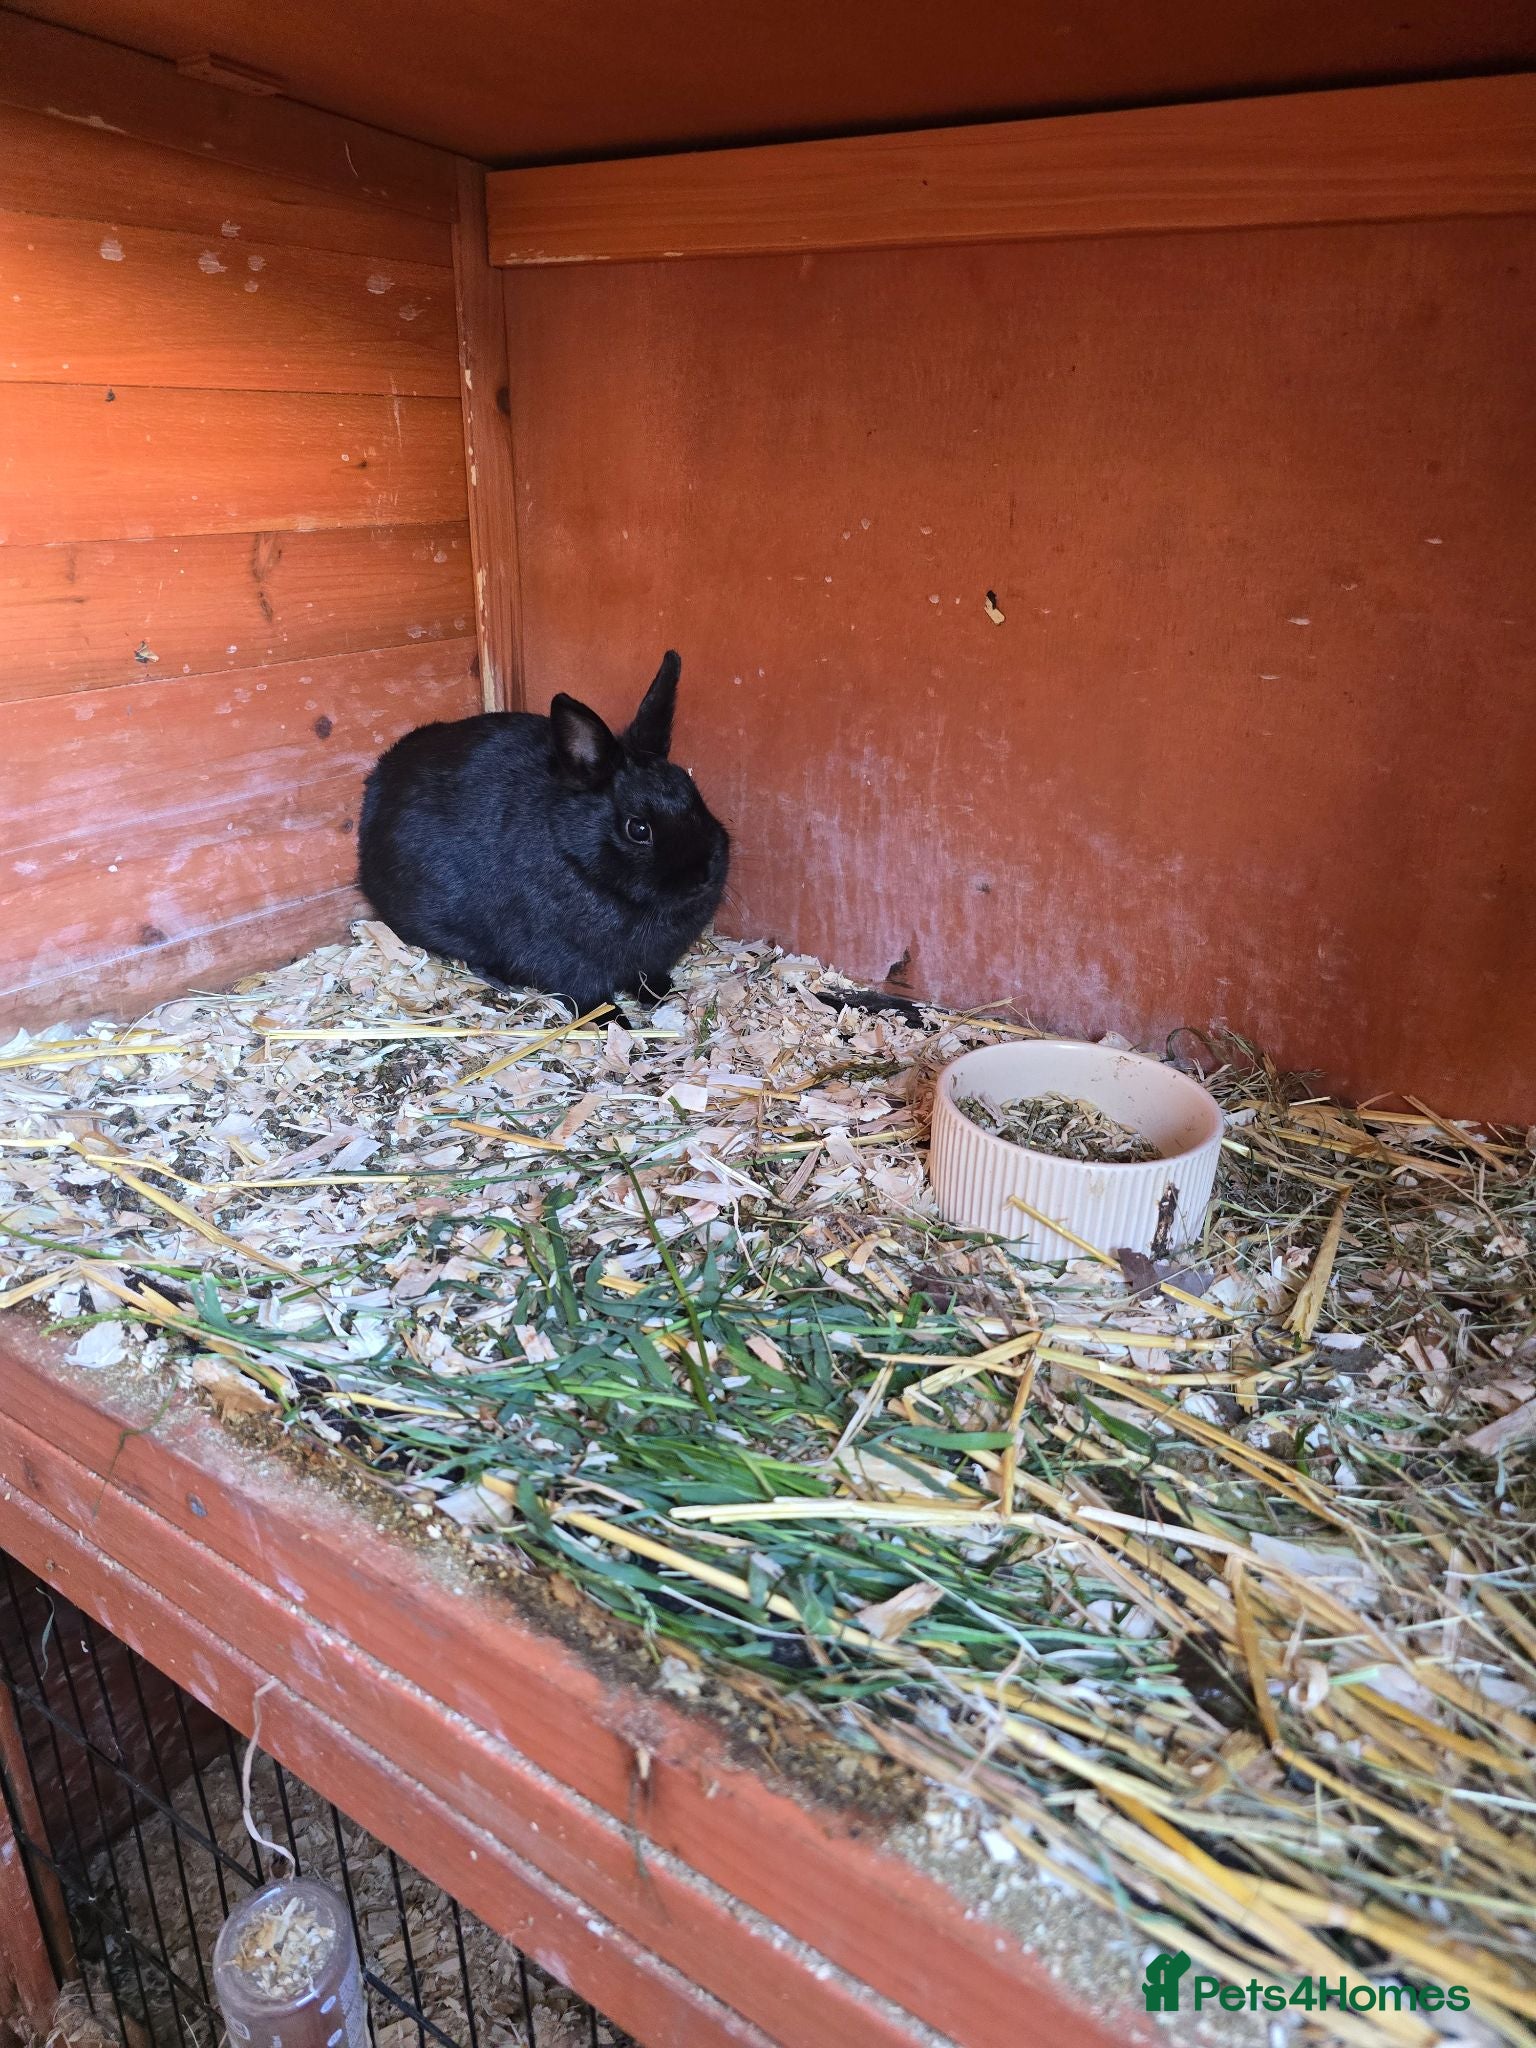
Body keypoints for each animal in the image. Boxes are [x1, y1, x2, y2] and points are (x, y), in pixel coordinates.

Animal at [357, 650, 729, 1014]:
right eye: (638, 829)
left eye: (695, 796)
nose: (702, 876)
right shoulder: (567, 961)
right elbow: (590, 999)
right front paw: (616, 1021)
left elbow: (645, 976)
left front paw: (659, 993)